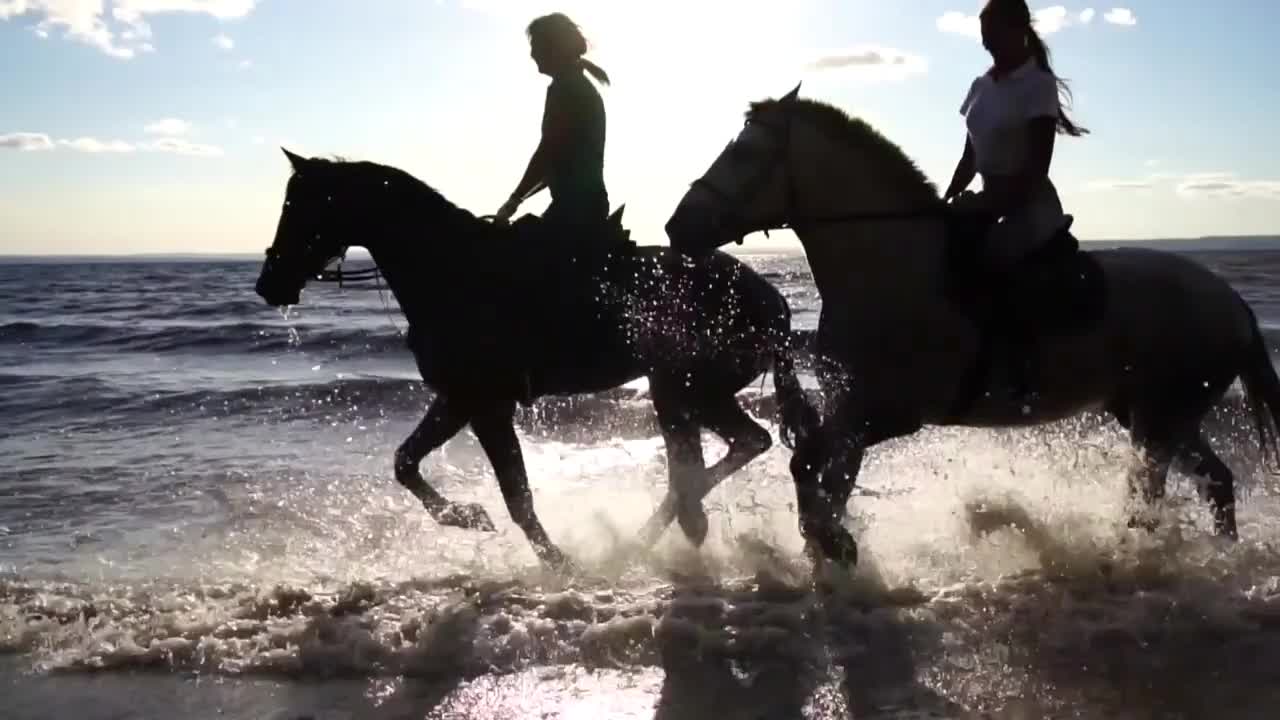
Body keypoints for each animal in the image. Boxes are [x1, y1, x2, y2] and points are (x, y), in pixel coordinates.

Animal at [252, 149, 808, 566]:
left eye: (302, 207)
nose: (268, 283)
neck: (449, 268)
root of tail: (773, 302)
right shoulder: (459, 400)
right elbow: (405, 463)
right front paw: (469, 517)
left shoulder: (484, 405)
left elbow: (516, 495)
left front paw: (556, 562)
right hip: (678, 392)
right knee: (708, 459)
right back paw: (663, 532)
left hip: (687, 388)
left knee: (732, 448)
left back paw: (661, 532)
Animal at [660, 85, 1280, 566]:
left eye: (745, 153)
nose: (675, 227)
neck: (887, 264)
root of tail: (1234, 305)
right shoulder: (850, 410)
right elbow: (823, 476)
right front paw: (830, 552)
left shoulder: (884, 413)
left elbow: (807, 463)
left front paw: (832, 545)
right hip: (1162, 415)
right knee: (1215, 481)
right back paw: (1216, 554)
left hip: (1160, 418)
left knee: (1159, 494)